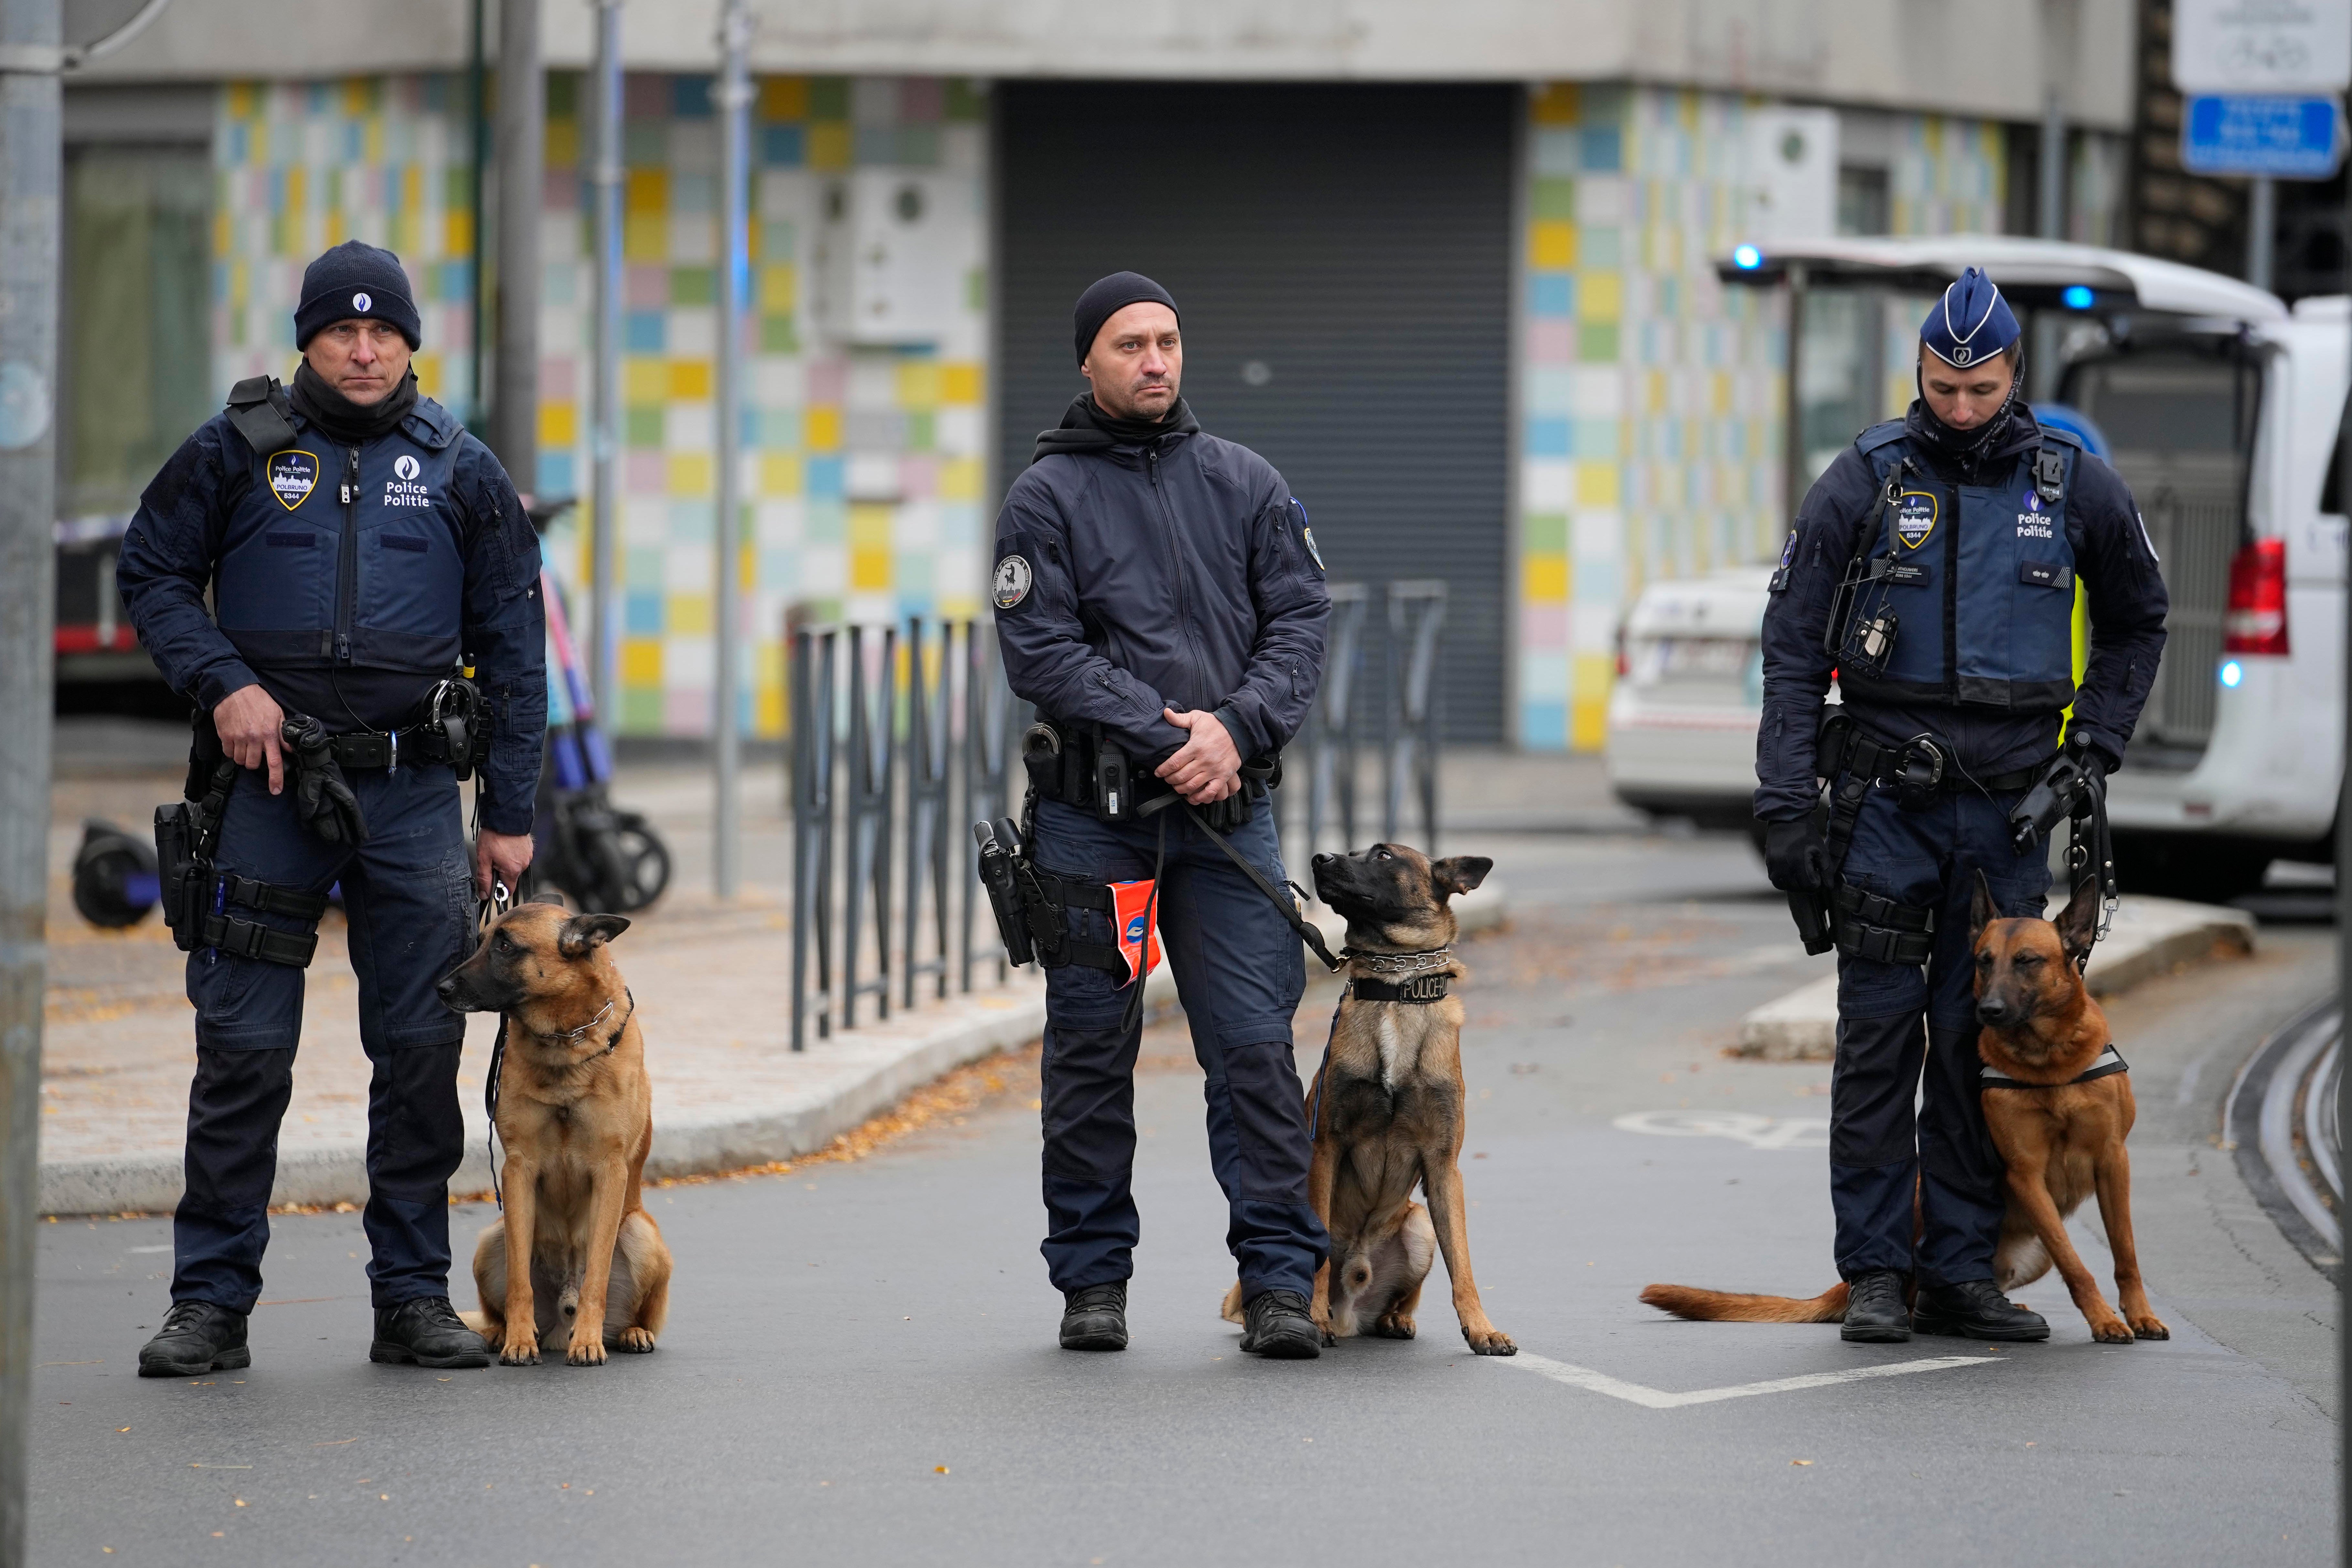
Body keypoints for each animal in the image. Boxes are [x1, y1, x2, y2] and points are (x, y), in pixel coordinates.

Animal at [437, 902, 672, 1363]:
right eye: (481, 941)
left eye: (506, 946)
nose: (441, 987)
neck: (565, 1043)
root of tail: (560, 1321)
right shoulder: (518, 1172)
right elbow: (518, 1283)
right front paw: (518, 1340)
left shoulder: (610, 1172)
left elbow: (596, 1276)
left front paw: (588, 1342)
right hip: (492, 1237)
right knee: (500, 1301)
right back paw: (501, 1334)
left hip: (643, 1234)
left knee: (636, 1312)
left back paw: (629, 1333)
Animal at [1223, 841, 1514, 1354]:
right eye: (1355, 851)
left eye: (1383, 855)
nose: (1319, 858)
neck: (1396, 990)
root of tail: (1352, 1310)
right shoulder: (1326, 1148)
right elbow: (1317, 1252)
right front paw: (1313, 1318)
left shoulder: (1444, 1166)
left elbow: (1463, 1265)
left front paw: (1481, 1328)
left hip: (1419, 1227)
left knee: (1402, 1298)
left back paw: (1394, 1319)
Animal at [1637, 869, 2164, 1354]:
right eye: (1983, 962)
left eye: (2028, 962)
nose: (1989, 1011)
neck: (2048, 1062)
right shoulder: (2026, 1174)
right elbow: (2077, 1262)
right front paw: (2103, 1318)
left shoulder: (2113, 1161)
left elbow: (2126, 1253)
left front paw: (2139, 1314)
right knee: (1918, 1298)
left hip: (2032, 1256)